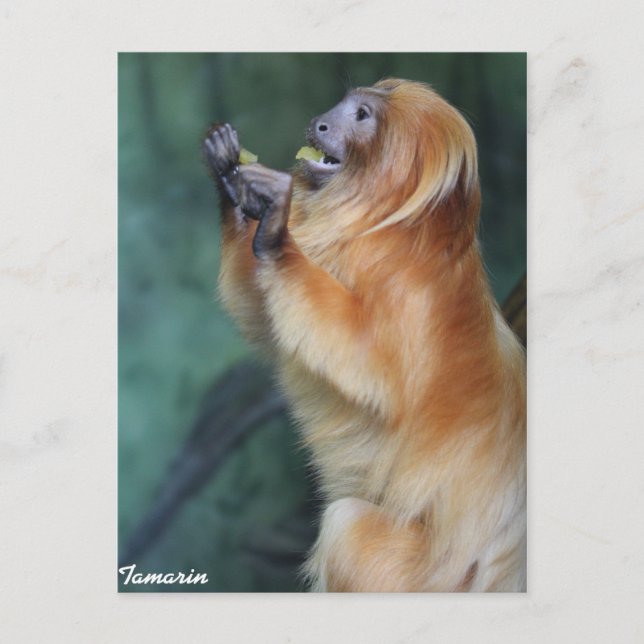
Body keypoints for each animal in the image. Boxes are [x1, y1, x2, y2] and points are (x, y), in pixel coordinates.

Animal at [203, 78, 526, 592]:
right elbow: (263, 319)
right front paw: (232, 181)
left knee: (348, 527)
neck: (384, 229)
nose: (320, 123)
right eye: (341, 106)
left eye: (360, 116)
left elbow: (371, 369)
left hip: (423, 577)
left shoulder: (412, 293)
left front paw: (276, 231)